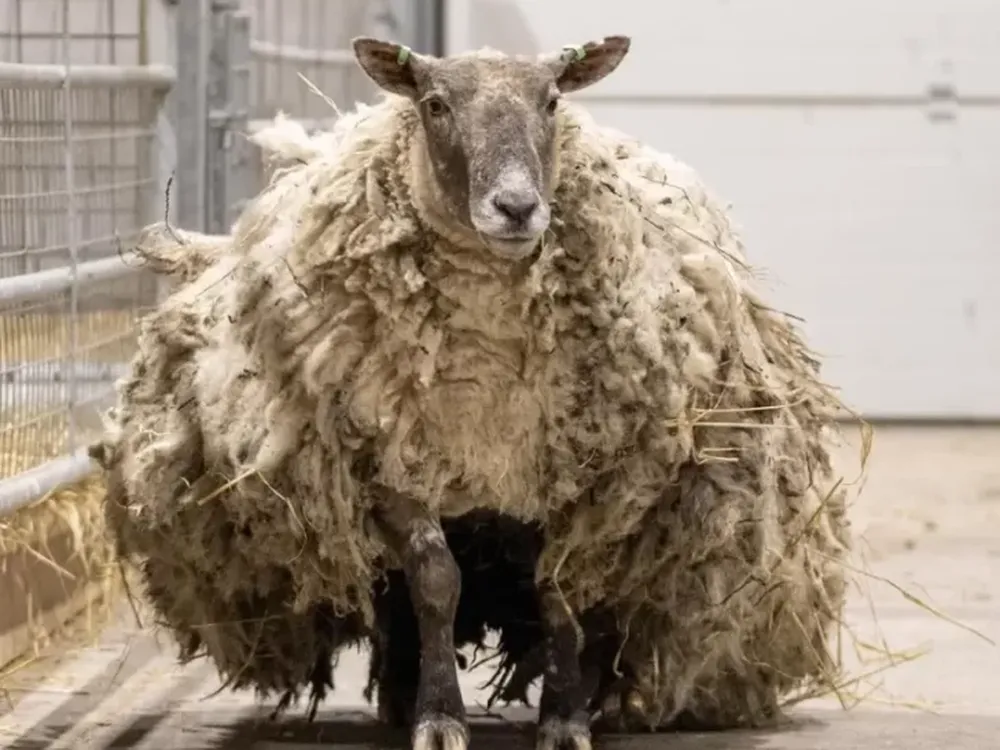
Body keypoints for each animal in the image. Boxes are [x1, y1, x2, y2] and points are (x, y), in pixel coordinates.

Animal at [98, 33, 852, 750]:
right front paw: (439, 718)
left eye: (552, 100)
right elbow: (436, 583)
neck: (486, 373)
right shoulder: (393, 462)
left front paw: (565, 719)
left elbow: (557, 591)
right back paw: (400, 696)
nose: (516, 207)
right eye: (435, 104)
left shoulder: (580, 472)